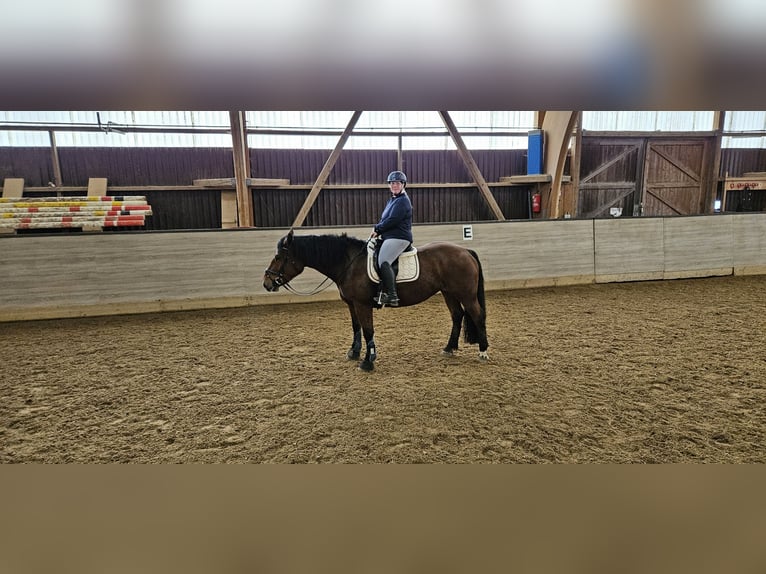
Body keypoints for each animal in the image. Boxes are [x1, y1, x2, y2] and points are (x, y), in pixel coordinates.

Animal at [264, 231, 492, 374]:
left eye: (278, 257)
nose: (267, 283)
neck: (349, 263)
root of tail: (465, 251)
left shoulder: (362, 305)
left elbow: (368, 330)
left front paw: (368, 361)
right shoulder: (351, 304)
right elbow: (356, 327)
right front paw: (354, 353)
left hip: (466, 295)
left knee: (477, 315)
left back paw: (483, 351)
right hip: (448, 293)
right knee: (457, 316)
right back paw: (449, 348)